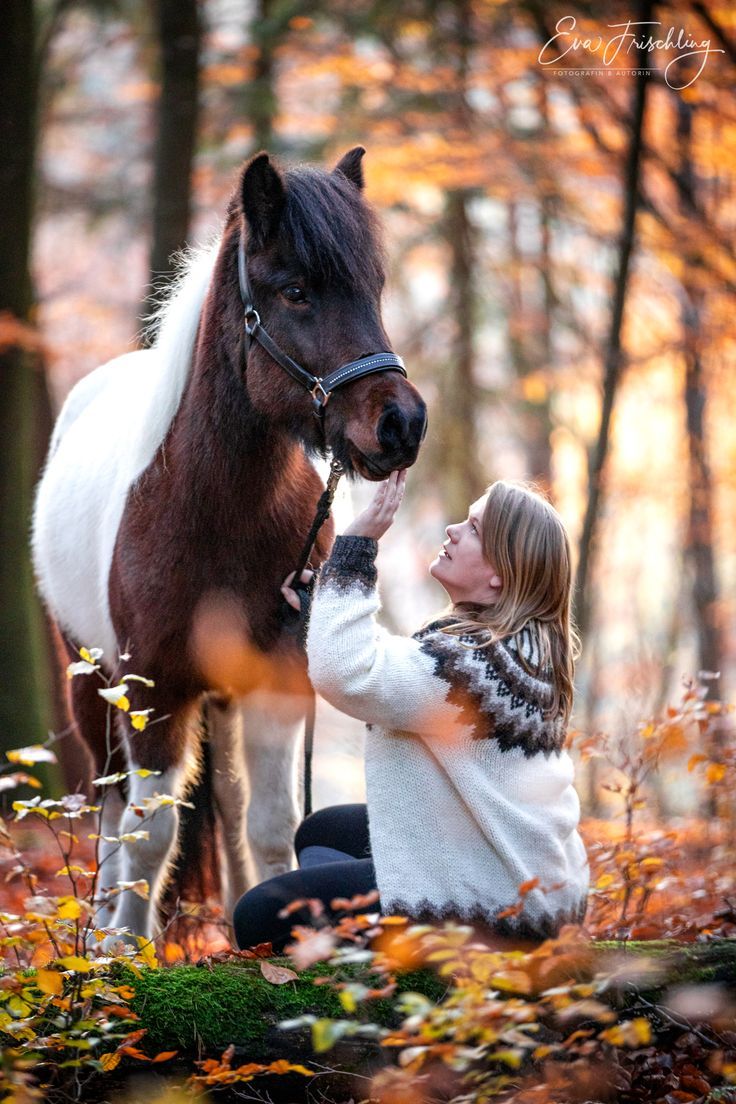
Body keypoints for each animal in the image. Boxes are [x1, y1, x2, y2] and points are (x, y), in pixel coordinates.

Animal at [33, 142, 425, 945]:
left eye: (373, 288)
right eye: (296, 290)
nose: (402, 424)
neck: (212, 513)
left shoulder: (277, 681)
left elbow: (274, 824)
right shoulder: (152, 686)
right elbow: (150, 830)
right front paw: (126, 951)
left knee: (231, 802)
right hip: (92, 683)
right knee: (113, 803)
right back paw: (102, 931)